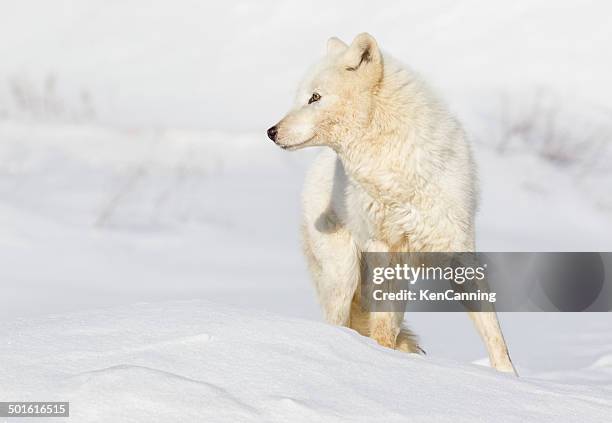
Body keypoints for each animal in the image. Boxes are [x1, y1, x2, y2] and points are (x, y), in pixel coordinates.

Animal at [268, 34, 516, 376]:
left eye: (315, 97)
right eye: (301, 97)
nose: (271, 132)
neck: (396, 172)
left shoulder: (459, 249)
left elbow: (493, 332)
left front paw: (510, 377)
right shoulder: (384, 249)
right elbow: (383, 328)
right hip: (343, 275)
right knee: (340, 321)